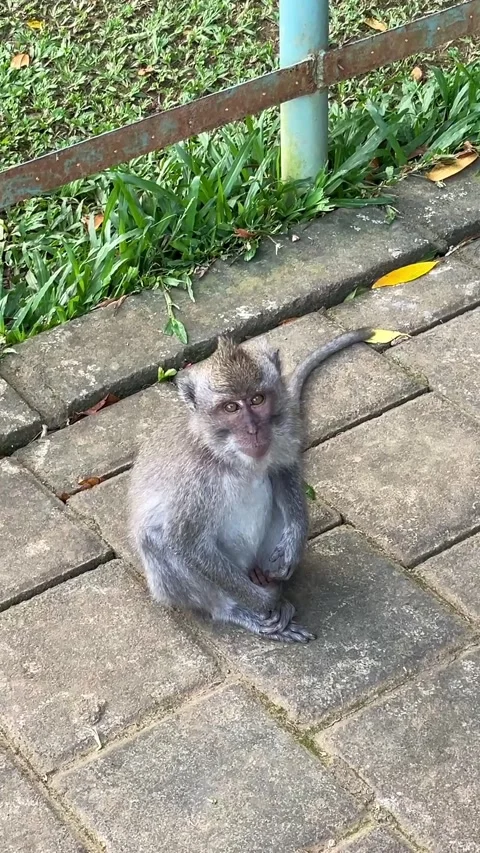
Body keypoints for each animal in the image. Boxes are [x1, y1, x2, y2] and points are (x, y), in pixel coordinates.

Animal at [129, 326, 372, 644]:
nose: (253, 430)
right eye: (231, 407)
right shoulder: (193, 479)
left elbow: (282, 468)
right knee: (156, 539)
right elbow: (186, 543)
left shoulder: (283, 428)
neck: (227, 455)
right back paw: (238, 610)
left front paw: (293, 545)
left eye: (257, 399)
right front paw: (267, 602)